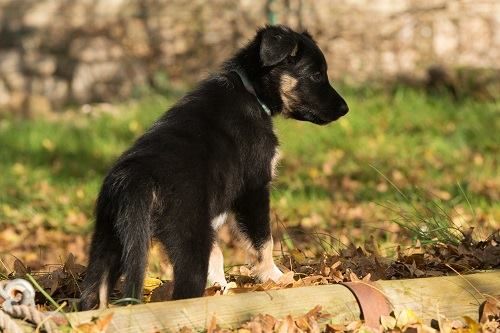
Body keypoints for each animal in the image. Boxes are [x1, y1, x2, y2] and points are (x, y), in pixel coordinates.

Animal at [81, 25, 348, 308]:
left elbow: (218, 255)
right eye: (316, 75)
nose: (345, 109)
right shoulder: (254, 188)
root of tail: (134, 178)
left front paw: (223, 287)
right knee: (184, 291)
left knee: (92, 291)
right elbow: (263, 241)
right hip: (186, 238)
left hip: (109, 240)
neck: (251, 91)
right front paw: (275, 278)